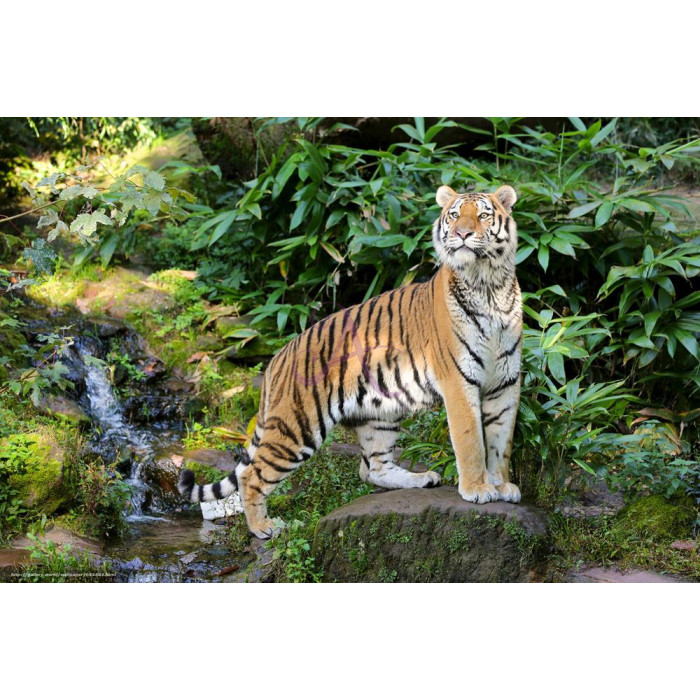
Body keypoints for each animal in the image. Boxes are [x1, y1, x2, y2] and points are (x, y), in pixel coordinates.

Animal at [179, 183, 523, 539]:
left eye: (483, 215)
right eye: (454, 215)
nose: (462, 233)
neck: (488, 285)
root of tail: (278, 359)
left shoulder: (506, 382)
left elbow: (501, 440)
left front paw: (502, 485)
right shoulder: (459, 381)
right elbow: (472, 441)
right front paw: (478, 489)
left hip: (381, 415)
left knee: (371, 468)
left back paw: (420, 478)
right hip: (298, 426)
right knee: (253, 474)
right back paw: (264, 527)